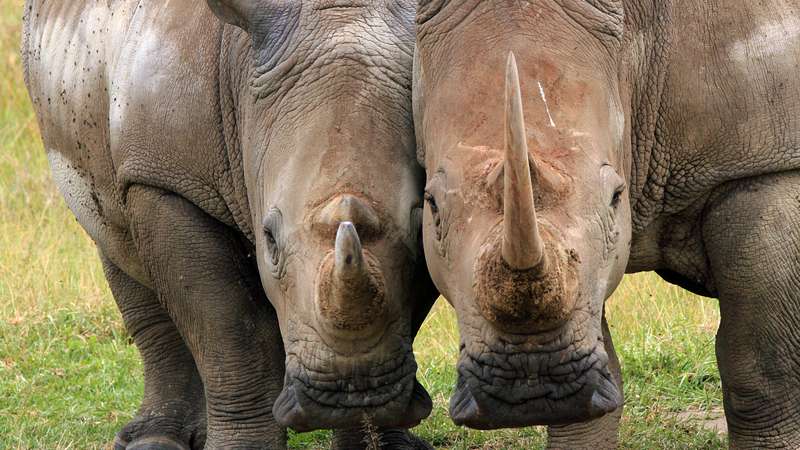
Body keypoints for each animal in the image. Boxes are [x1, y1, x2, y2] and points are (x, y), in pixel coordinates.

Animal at [22, 0, 437, 448]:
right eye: (270, 239)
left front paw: (378, 435)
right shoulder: (166, 177)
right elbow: (229, 326)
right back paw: (153, 439)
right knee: (117, 244)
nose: (349, 394)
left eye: (418, 233)